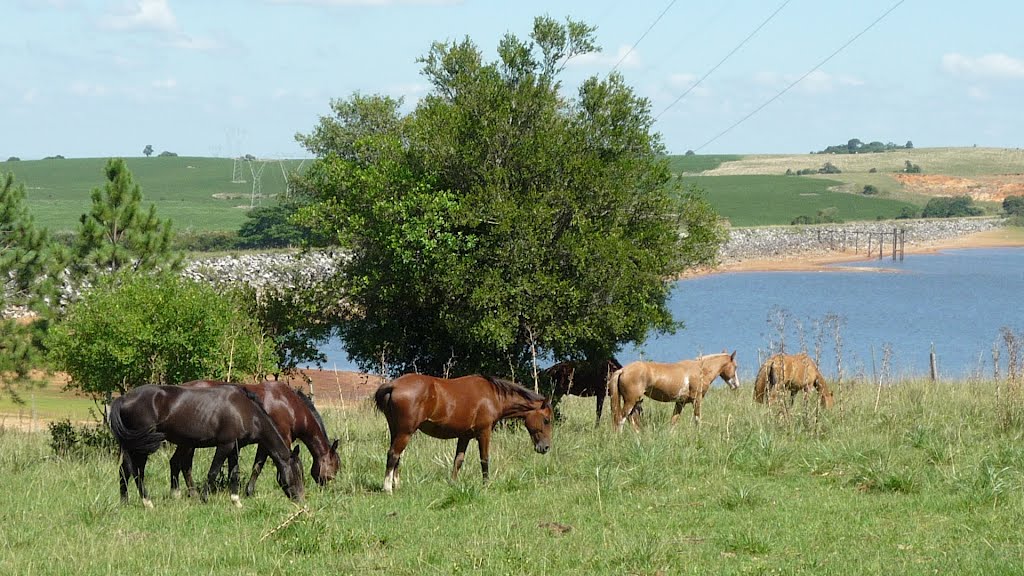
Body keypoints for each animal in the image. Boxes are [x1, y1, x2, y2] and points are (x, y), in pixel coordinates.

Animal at [106, 383, 303, 504]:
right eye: (298, 474)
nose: (301, 499)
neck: (245, 411)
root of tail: (123, 399)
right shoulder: (225, 445)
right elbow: (213, 471)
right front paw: (204, 498)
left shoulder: (235, 447)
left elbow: (234, 473)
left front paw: (235, 500)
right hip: (142, 446)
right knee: (136, 471)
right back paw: (146, 501)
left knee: (125, 470)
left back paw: (126, 502)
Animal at [169, 379, 342, 496]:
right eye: (334, 468)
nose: (327, 489)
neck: (288, 404)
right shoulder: (278, 440)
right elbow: (260, 466)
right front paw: (250, 491)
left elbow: (255, 465)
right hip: (188, 443)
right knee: (183, 464)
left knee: (176, 462)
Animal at [374, 373, 552, 494]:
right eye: (546, 420)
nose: (545, 447)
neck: (493, 396)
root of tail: (393, 386)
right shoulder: (484, 433)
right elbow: (484, 459)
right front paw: (486, 485)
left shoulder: (464, 436)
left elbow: (458, 461)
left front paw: (452, 484)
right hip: (405, 432)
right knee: (393, 455)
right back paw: (387, 488)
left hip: (396, 431)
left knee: (397, 457)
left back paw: (397, 485)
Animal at [606, 350, 737, 430]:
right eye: (735, 366)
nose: (736, 385)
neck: (700, 371)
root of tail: (623, 370)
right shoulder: (697, 400)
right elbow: (697, 419)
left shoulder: (680, 403)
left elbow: (674, 421)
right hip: (630, 401)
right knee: (621, 418)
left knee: (631, 420)